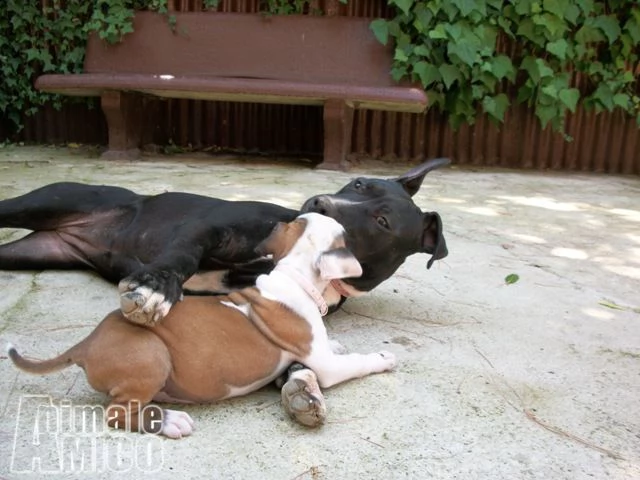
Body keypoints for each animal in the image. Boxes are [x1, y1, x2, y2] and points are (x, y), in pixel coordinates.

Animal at [0, 159, 450, 324]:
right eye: (357, 183)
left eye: (382, 220)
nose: (318, 203)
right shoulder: (206, 229)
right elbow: (182, 256)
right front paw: (156, 286)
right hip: (43, 202)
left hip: (30, 253)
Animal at [7, 214, 398, 438]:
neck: (294, 275)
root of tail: (85, 344)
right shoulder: (327, 368)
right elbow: (357, 362)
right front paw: (384, 358)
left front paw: (339, 343)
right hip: (151, 356)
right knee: (117, 414)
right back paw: (169, 422)